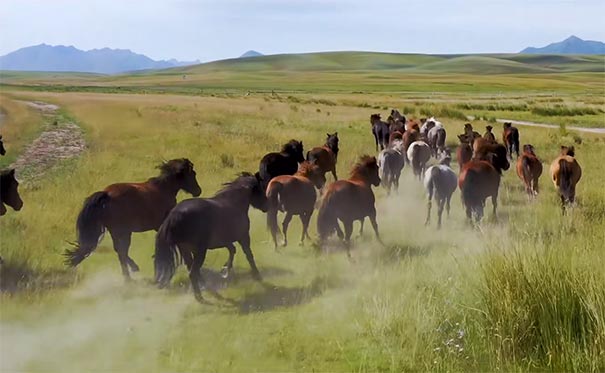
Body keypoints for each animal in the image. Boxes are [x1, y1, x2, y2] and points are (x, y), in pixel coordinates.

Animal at [63, 158, 202, 280]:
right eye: (193, 174)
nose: (198, 191)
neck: (164, 189)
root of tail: (106, 194)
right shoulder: (161, 226)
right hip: (123, 231)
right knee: (122, 251)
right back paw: (130, 275)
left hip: (116, 231)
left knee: (120, 251)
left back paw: (130, 273)